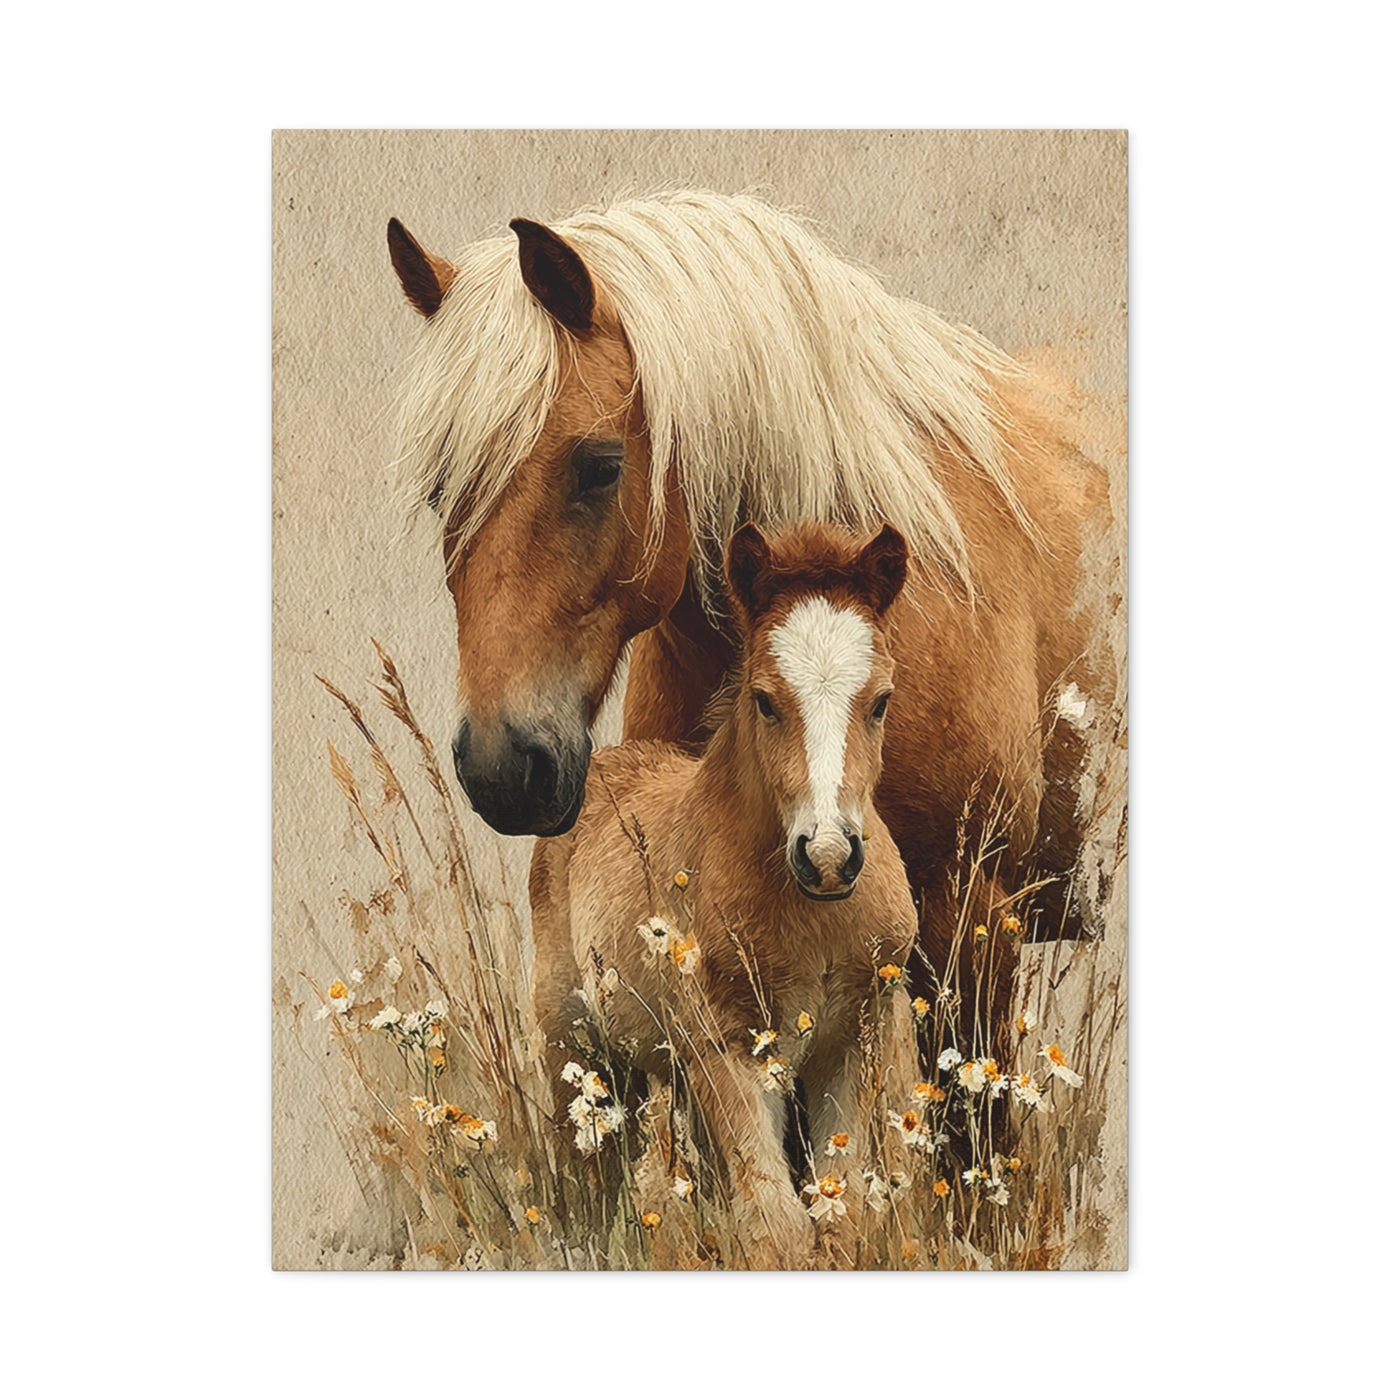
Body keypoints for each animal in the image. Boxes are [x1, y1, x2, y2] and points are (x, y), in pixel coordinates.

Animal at [528, 521, 918, 1261]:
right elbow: (776, 1225)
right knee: (590, 1174)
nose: (828, 858)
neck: (813, 921)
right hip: (575, 1045)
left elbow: (842, 1213)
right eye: (764, 699)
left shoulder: (853, 1041)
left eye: (882, 701)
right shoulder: (725, 1048)